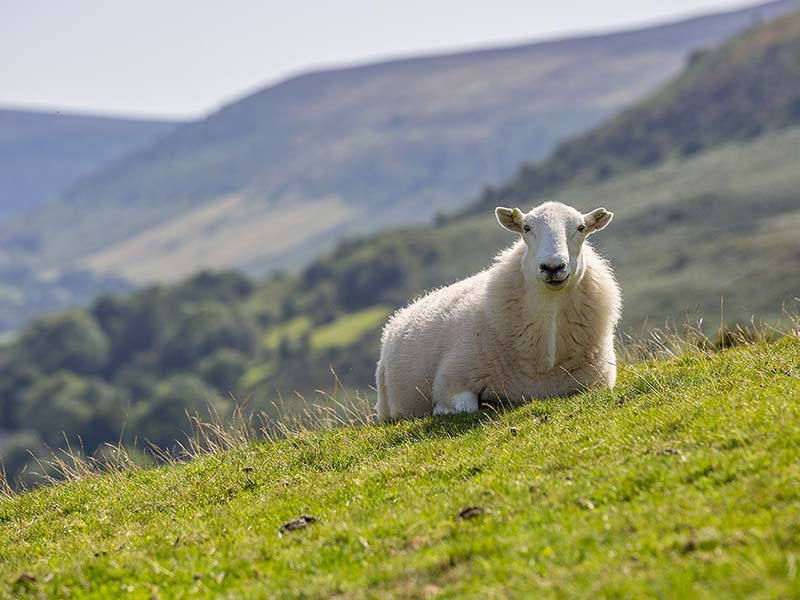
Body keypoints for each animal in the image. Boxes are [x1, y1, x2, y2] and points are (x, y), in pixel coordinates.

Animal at [372, 199, 620, 420]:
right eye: (526, 228)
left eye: (581, 228)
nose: (552, 267)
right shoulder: (451, 381)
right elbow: (464, 407)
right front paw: (445, 411)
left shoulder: (599, 382)